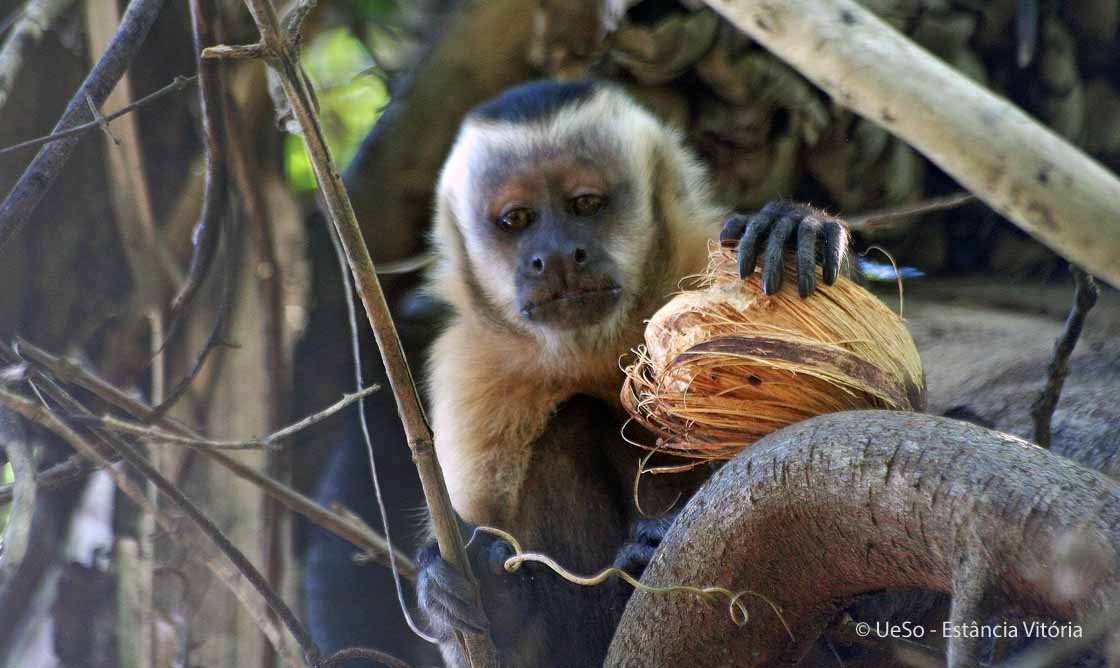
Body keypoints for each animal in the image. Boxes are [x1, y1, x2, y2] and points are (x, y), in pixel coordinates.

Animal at [418, 79, 846, 668]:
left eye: (585, 205)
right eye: (518, 220)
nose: (556, 256)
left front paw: (793, 223)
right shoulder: (468, 370)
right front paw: (486, 594)